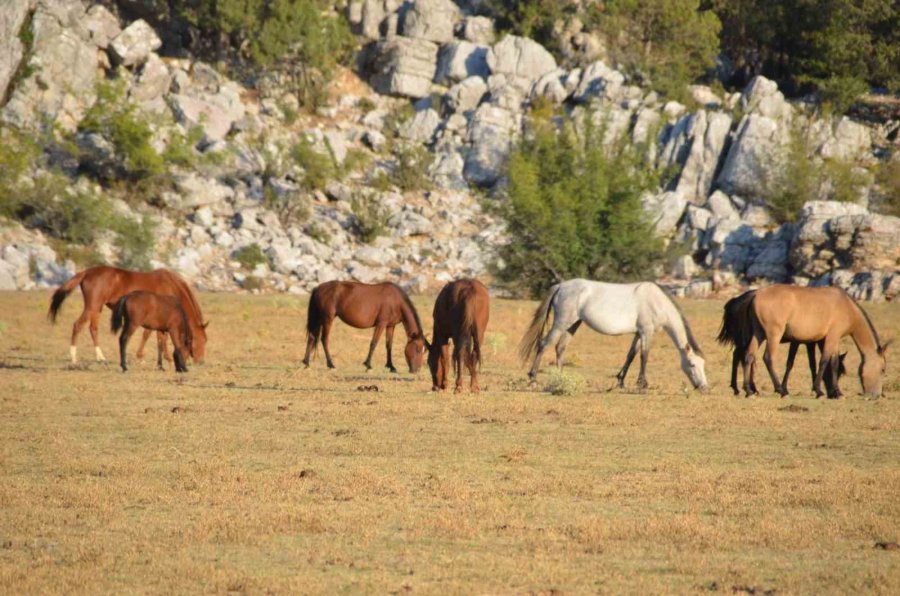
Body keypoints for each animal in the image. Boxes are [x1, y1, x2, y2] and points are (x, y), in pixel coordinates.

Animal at [49, 266, 211, 364]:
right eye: (200, 340)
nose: (200, 361)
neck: (171, 286)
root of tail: (87, 272)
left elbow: (160, 336)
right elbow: (151, 335)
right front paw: (145, 357)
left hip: (97, 309)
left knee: (93, 329)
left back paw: (100, 357)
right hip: (92, 307)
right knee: (78, 325)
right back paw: (74, 357)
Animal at [520, 280, 712, 392]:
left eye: (703, 365)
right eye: (692, 364)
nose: (704, 387)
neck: (657, 301)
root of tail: (560, 286)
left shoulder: (638, 333)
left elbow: (631, 355)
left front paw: (621, 382)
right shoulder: (646, 332)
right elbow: (644, 357)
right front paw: (643, 384)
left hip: (573, 324)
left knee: (560, 347)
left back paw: (561, 379)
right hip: (561, 323)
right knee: (544, 344)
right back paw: (533, 379)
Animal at [716, 288, 844, 396]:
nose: (832, 393)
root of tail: (737, 300)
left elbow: (795, 362)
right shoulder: (805, 342)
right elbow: (805, 364)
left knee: (741, 355)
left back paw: (742, 388)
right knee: (742, 356)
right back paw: (745, 388)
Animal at [736, 286, 888, 398]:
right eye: (882, 369)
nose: (877, 395)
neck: (847, 307)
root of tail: (756, 294)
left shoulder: (827, 340)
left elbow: (831, 363)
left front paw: (836, 392)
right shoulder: (832, 337)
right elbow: (825, 361)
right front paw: (820, 390)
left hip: (758, 334)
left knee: (749, 356)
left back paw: (749, 390)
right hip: (774, 335)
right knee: (768, 358)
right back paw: (780, 390)